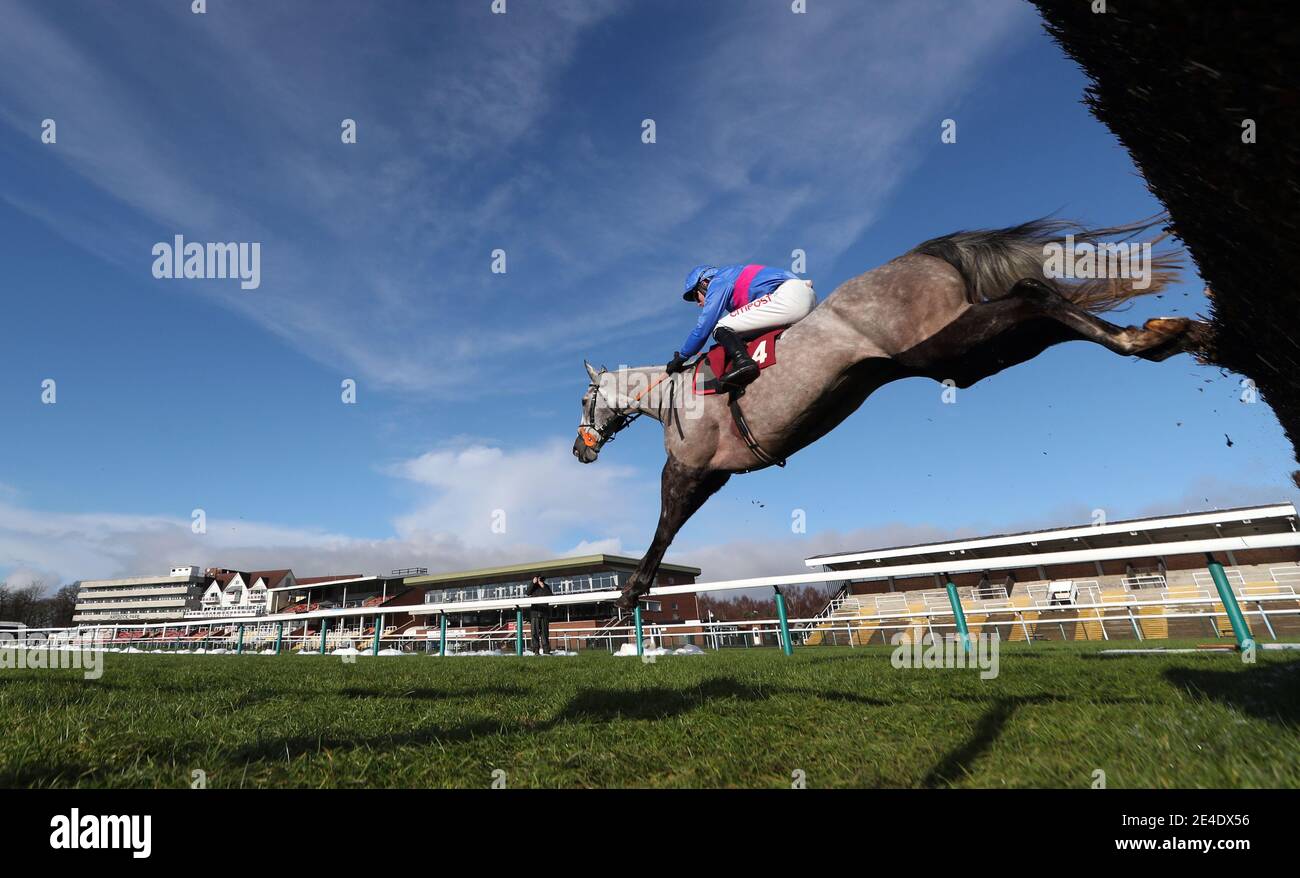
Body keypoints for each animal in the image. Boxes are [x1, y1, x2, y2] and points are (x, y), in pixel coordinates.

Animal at [577, 218, 1206, 611]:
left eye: (584, 401)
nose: (580, 450)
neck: (668, 398)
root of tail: (924, 254)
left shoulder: (688, 469)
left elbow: (664, 527)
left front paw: (629, 594)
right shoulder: (716, 475)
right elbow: (671, 526)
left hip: (939, 349)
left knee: (1032, 293)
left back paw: (1145, 338)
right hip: (958, 357)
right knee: (1040, 304)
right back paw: (1162, 335)